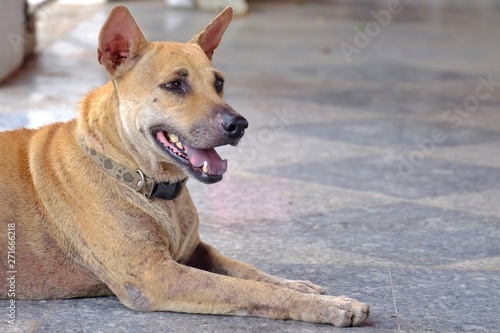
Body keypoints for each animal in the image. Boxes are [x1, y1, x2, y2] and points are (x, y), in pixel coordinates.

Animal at [0, 5, 368, 326]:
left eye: (218, 83)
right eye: (175, 85)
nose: (239, 124)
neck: (143, 180)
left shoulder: (195, 250)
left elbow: (246, 270)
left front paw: (294, 285)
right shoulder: (156, 275)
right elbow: (247, 288)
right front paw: (329, 306)